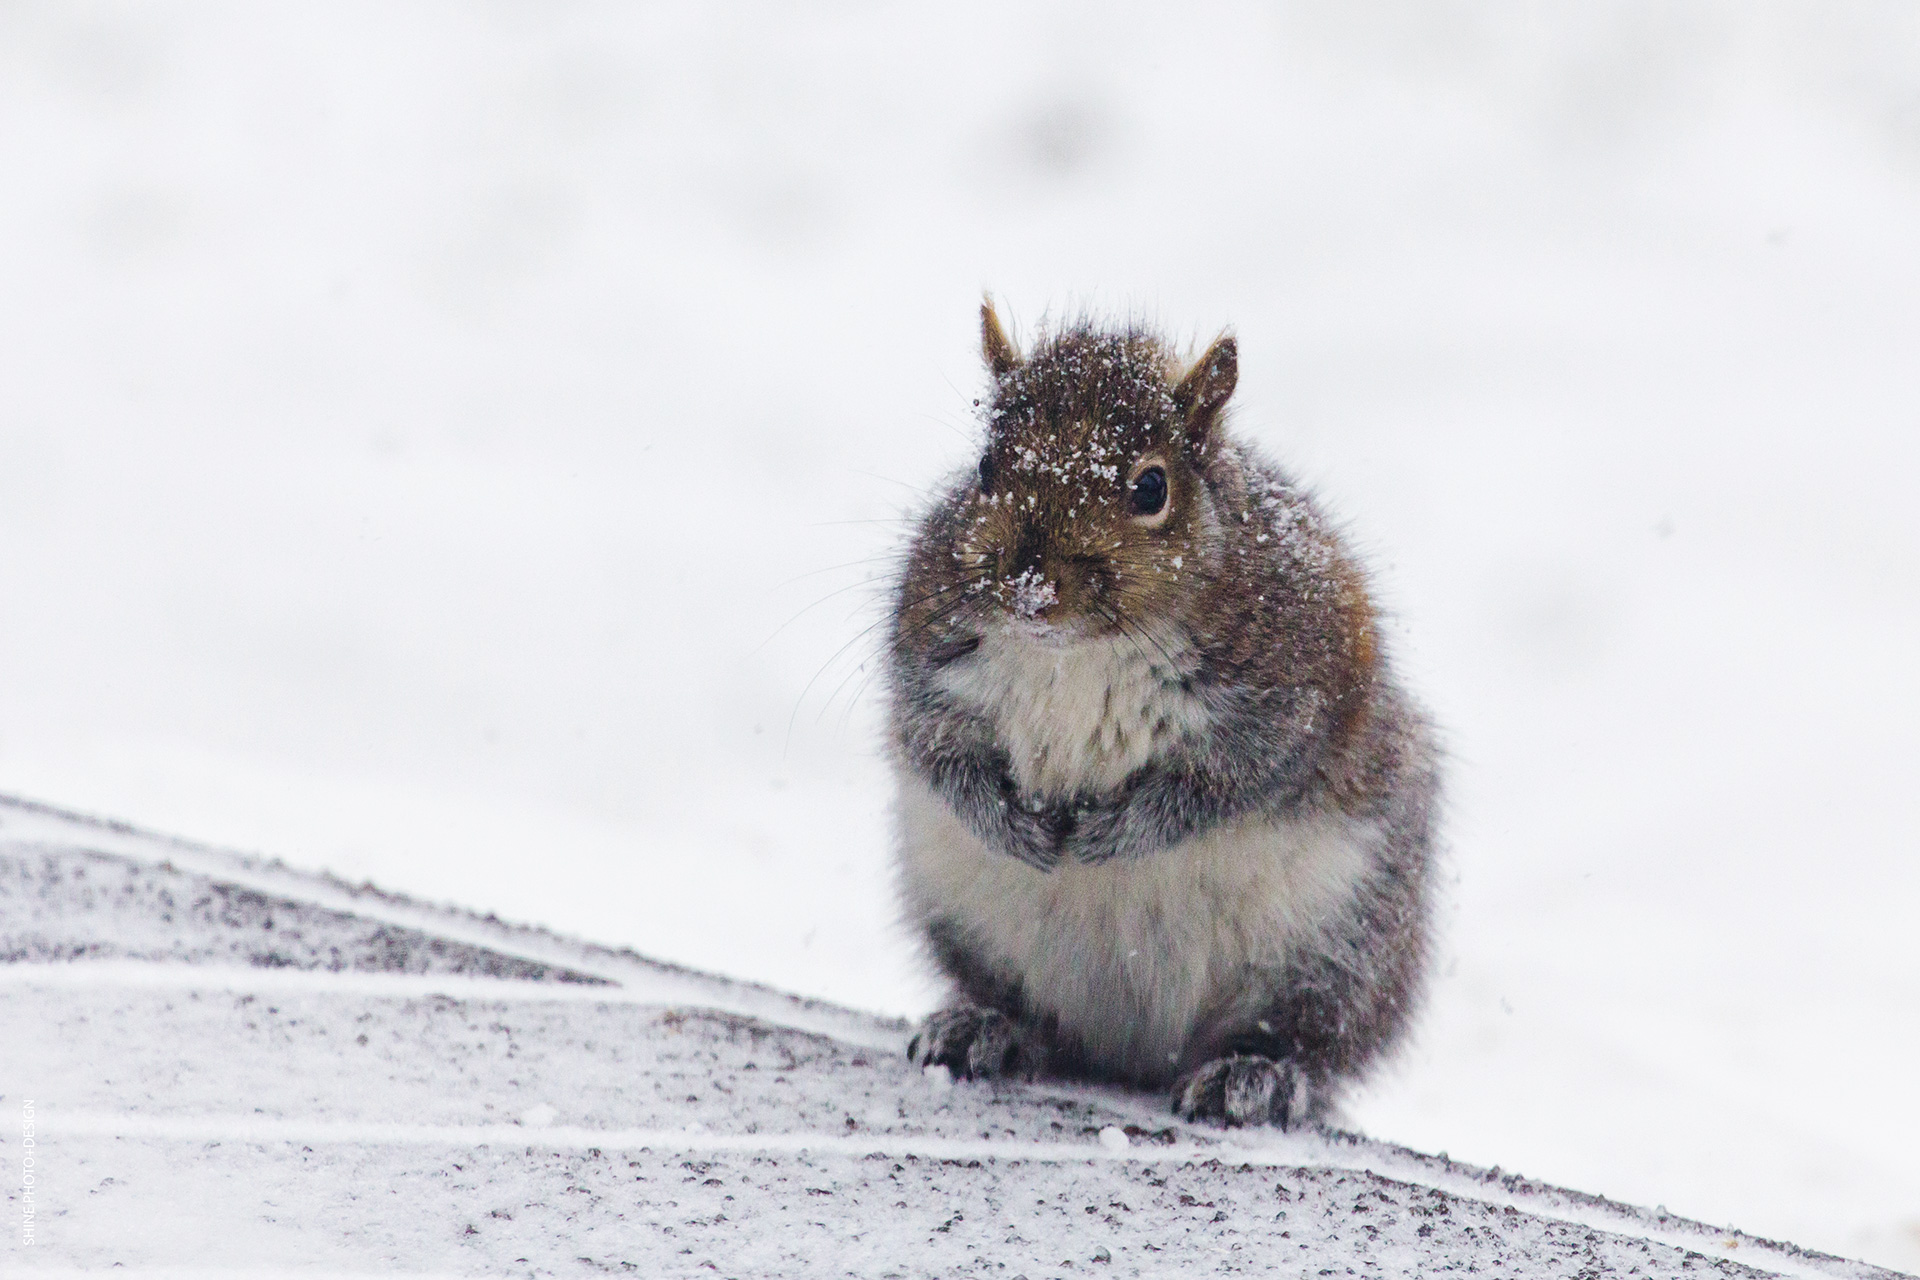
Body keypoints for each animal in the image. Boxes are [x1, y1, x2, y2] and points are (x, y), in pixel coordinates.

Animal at [883, 301, 1443, 1128]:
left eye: (1151, 489)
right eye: (985, 467)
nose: (1031, 588)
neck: (1079, 652)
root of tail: (1134, 1054)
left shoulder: (1292, 698)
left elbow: (1221, 786)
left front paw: (1115, 836)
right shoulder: (928, 663)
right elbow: (936, 749)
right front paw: (1011, 824)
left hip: (1340, 943)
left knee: (1306, 1037)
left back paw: (1253, 1074)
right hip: (963, 912)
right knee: (1027, 1010)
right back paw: (986, 1026)